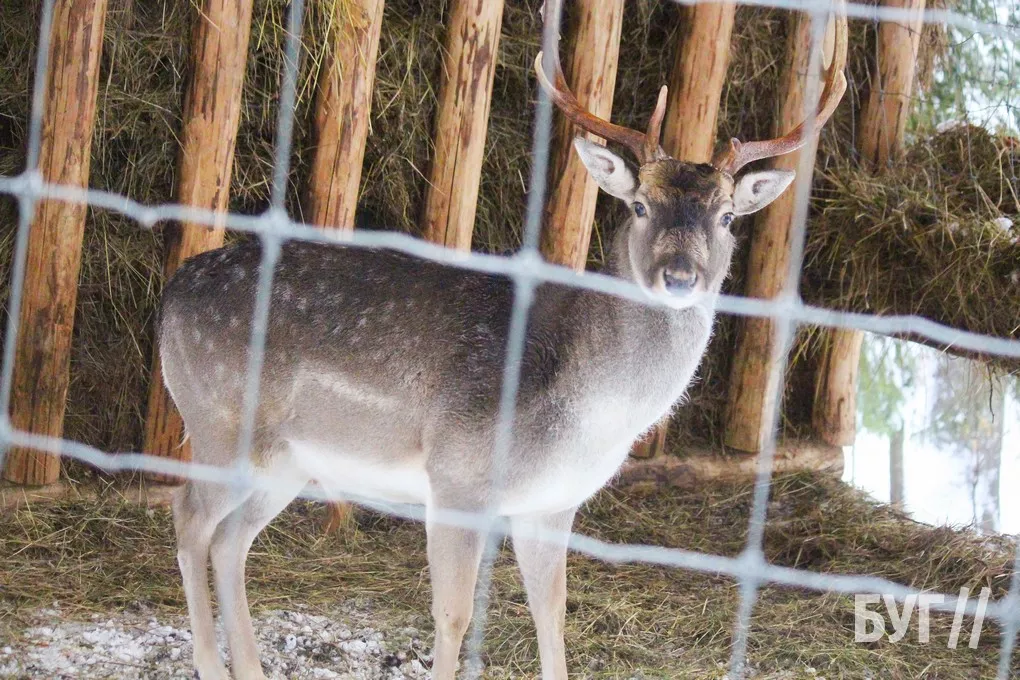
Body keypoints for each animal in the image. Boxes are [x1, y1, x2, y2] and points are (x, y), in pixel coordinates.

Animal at [160, 12, 847, 680]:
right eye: (639, 205)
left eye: (727, 218)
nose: (679, 277)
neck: (587, 413)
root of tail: (169, 298)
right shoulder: (457, 476)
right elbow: (454, 615)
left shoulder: (554, 503)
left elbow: (553, 612)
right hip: (220, 425)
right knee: (189, 519)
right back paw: (210, 663)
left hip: (287, 463)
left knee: (230, 540)